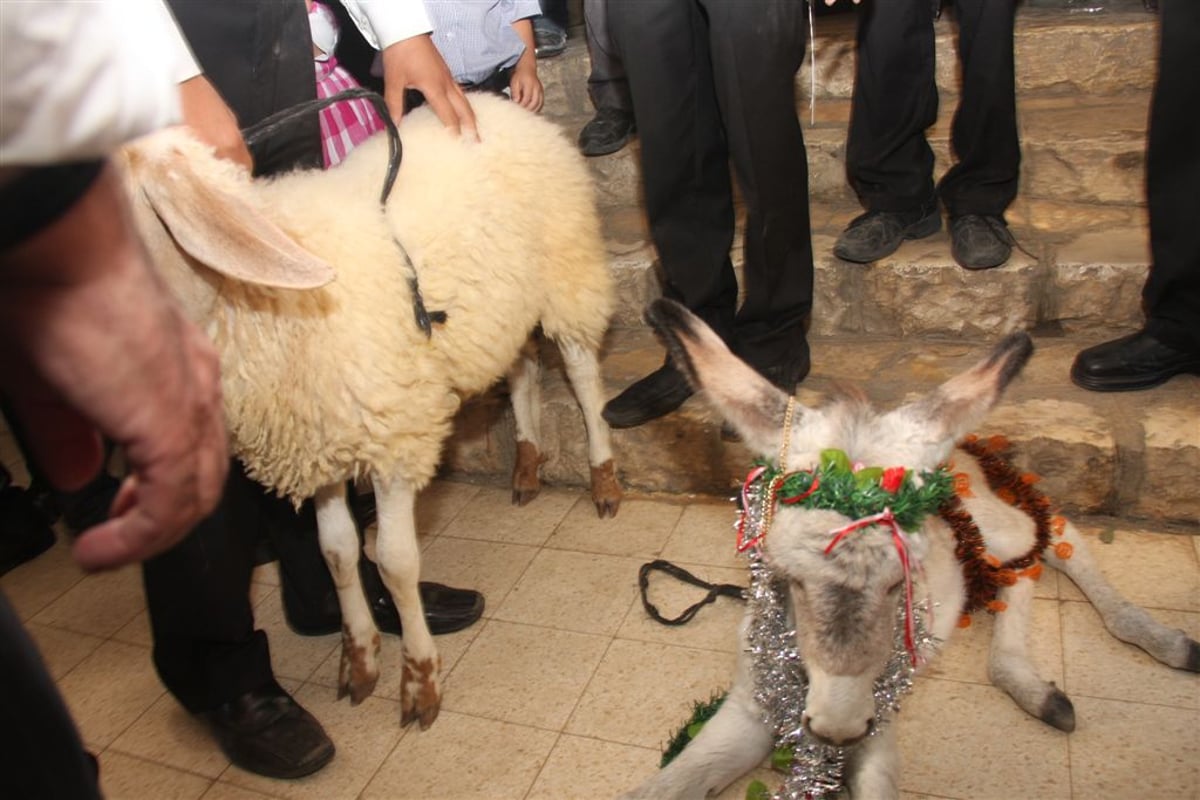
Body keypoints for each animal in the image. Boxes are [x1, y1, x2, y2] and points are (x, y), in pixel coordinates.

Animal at [118, 90, 624, 729]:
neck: (253, 302)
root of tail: (493, 100)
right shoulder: (319, 445)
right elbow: (336, 554)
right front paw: (359, 660)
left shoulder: (393, 442)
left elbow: (394, 561)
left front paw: (420, 680)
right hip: (502, 303)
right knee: (521, 370)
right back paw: (527, 463)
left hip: (565, 266)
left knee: (582, 375)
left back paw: (602, 477)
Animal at [624, 299, 1195, 800]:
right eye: (789, 578)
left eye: (902, 580)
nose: (836, 727)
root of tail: (965, 449)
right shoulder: (748, 704)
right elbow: (663, 787)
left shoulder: (881, 721)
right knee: (1020, 570)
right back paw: (1037, 687)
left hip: (996, 523)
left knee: (1052, 537)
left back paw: (1159, 645)